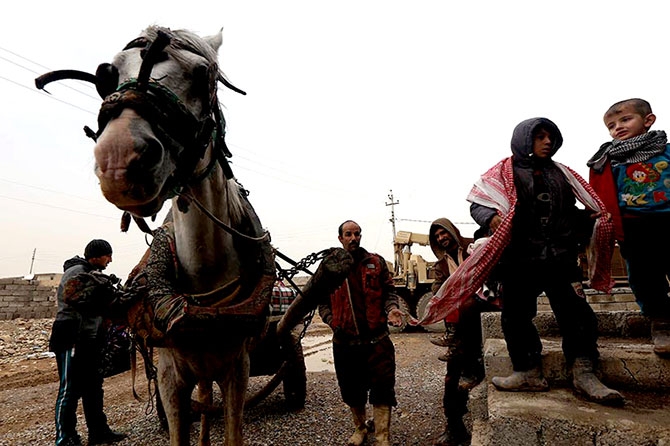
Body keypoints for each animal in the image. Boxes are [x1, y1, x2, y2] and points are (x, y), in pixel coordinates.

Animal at [38, 25, 276, 446]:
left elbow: (232, 429)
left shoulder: (238, 367)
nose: (118, 158)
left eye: (202, 74)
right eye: (109, 74)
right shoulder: (168, 376)